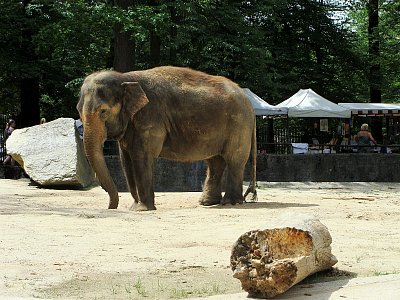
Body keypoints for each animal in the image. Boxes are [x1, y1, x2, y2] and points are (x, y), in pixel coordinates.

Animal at [77, 65, 258, 211]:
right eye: (78, 110)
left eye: (103, 111)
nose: (111, 207)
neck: (125, 78)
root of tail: (249, 103)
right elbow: (126, 161)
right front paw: (134, 208)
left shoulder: (150, 117)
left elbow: (141, 157)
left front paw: (142, 209)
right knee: (215, 161)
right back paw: (207, 203)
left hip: (239, 124)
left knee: (234, 160)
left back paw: (231, 203)